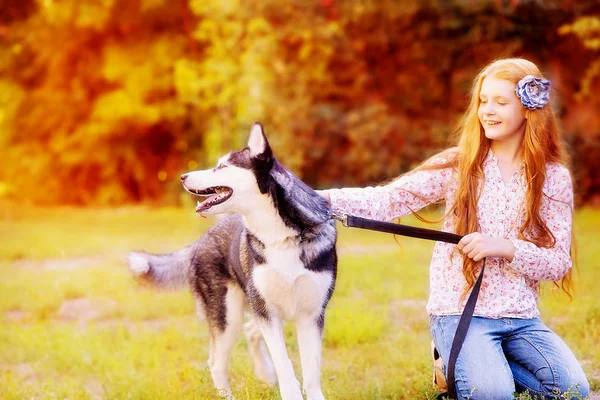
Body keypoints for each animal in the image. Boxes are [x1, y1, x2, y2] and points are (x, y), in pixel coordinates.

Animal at [128, 122, 338, 400]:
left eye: (223, 166)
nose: (183, 176)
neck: (281, 236)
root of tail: (202, 240)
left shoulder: (311, 316)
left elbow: (311, 374)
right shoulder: (267, 312)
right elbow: (285, 366)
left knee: (249, 333)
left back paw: (264, 373)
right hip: (229, 316)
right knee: (216, 363)